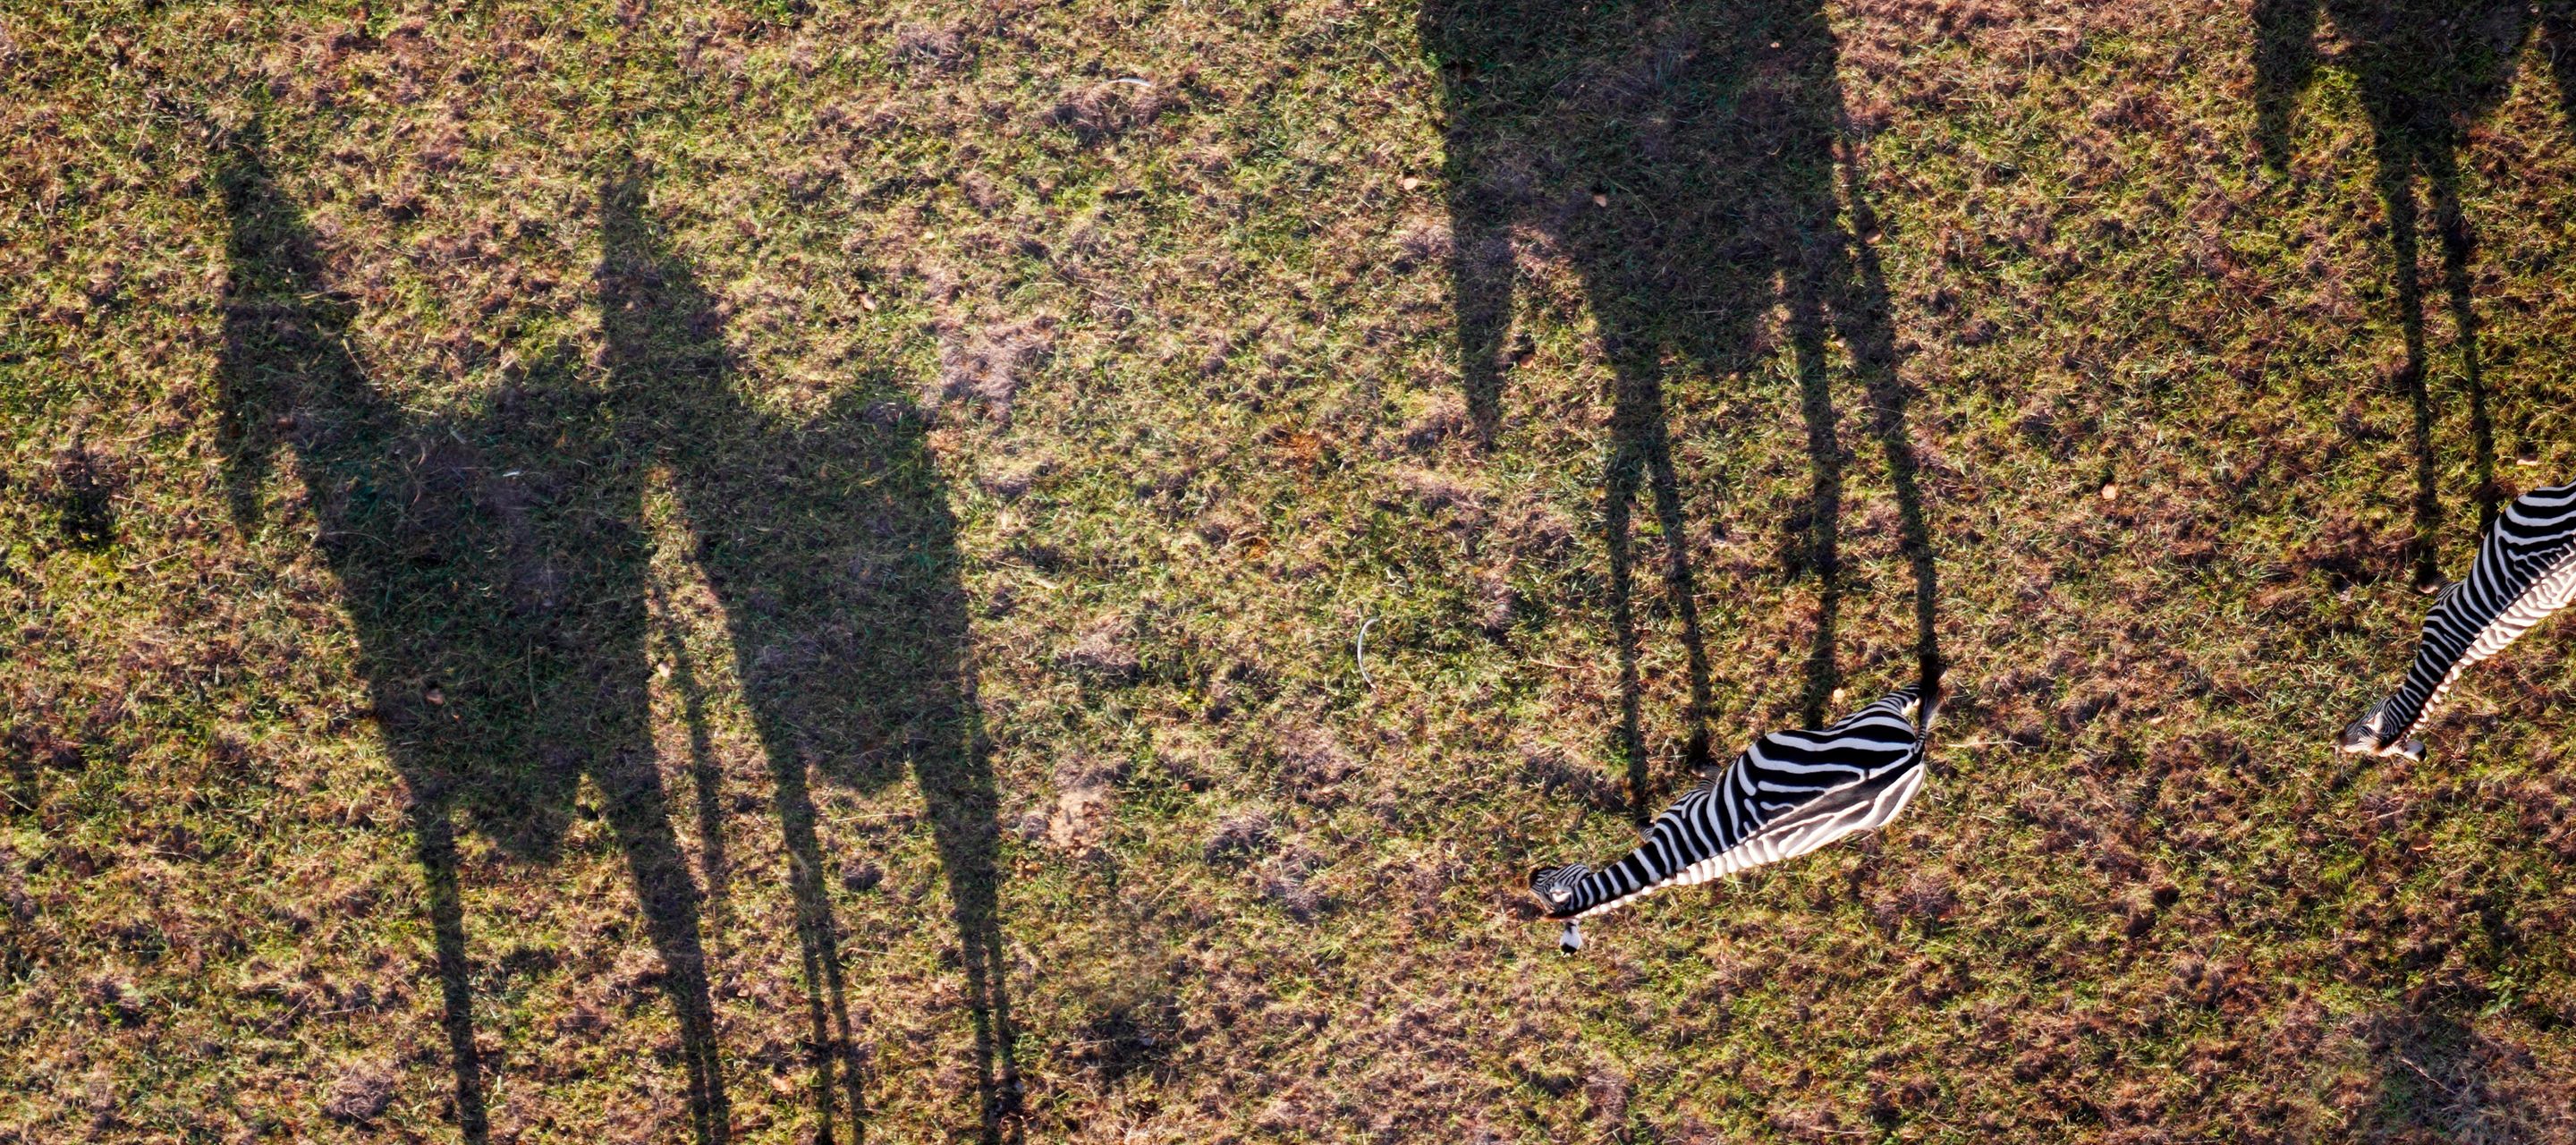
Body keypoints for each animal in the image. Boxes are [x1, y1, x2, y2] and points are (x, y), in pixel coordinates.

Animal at [1529, 685, 1936, 952]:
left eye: (1547, 885)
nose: (1528, 876)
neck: (1668, 861)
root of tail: (1911, 751)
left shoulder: (1683, 806)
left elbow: (1702, 781)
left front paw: (1696, 764)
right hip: (1879, 808)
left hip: (1862, 718)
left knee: (1911, 691)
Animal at [2341, 479, 2576, 760]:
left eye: (2364, 723)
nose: (2339, 742)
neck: (2451, 656)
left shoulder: (2445, 598)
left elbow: (2437, 582)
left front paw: (2423, 583)